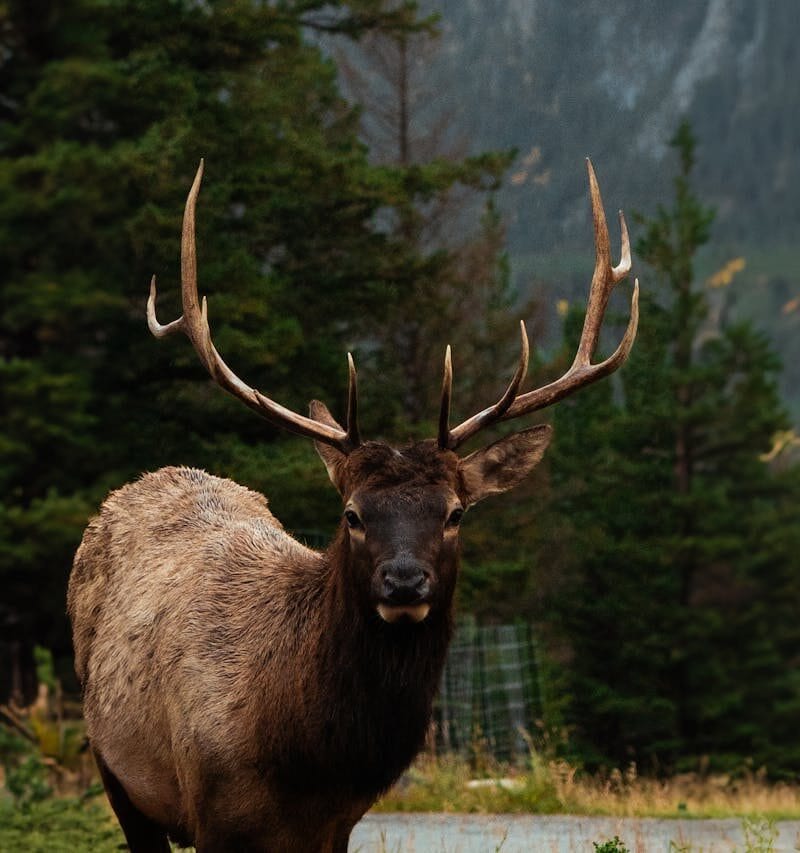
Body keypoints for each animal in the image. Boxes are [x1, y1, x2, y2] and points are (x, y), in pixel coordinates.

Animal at [68, 159, 638, 853]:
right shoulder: (211, 812)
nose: (404, 581)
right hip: (114, 767)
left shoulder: (340, 822)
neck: (305, 759)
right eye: (353, 514)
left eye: (455, 512)